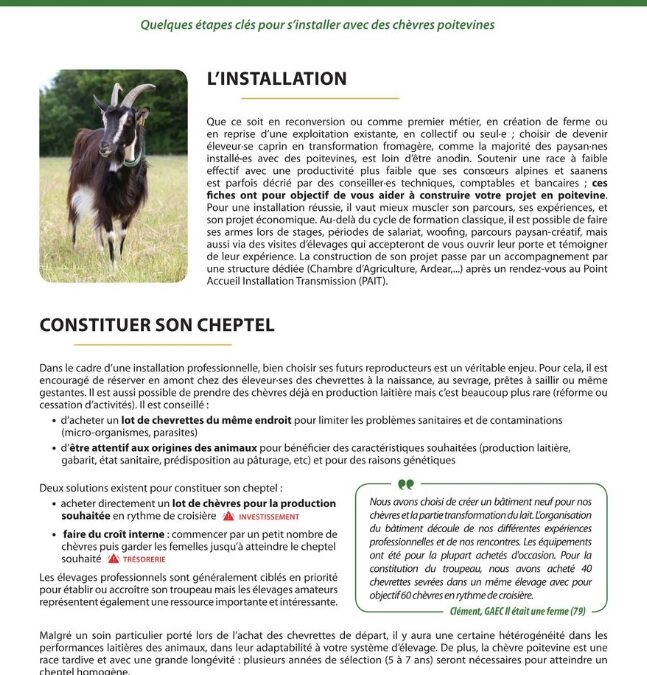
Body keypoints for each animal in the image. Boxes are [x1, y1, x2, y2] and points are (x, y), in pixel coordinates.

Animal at [67, 82, 155, 267]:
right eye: (105, 119)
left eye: (128, 120)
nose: (104, 147)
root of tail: (85, 133)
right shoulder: (104, 201)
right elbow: (111, 234)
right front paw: (112, 266)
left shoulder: (130, 206)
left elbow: (122, 234)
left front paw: (120, 262)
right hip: (76, 187)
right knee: (74, 216)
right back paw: (74, 248)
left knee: (95, 220)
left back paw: (100, 251)